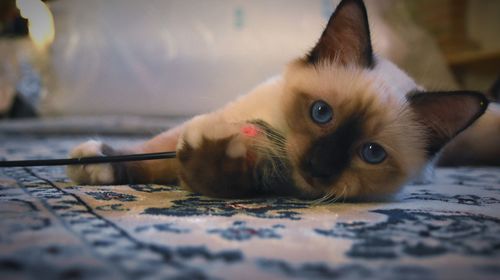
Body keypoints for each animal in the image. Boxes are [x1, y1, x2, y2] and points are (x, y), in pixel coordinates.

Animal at [67, 0, 496, 201]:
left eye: (371, 153)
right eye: (321, 113)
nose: (320, 166)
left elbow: (208, 173)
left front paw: (214, 158)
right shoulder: (219, 117)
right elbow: (152, 150)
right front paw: (96, 162)